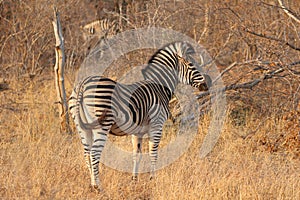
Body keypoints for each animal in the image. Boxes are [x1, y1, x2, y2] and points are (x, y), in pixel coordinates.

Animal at [69, 41, 212, 189]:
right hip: (102, 124)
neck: (159, 87)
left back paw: (92, 185)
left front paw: (134, 179)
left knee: (86, 153)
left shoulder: (137, 132)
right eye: (191, 65)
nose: (208, 82)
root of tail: (83, 84)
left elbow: (136, 155)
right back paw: (98, 186)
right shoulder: (157, 125)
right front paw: (153, 179)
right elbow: (153, 153)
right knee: (94, 154)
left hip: (82, 126)